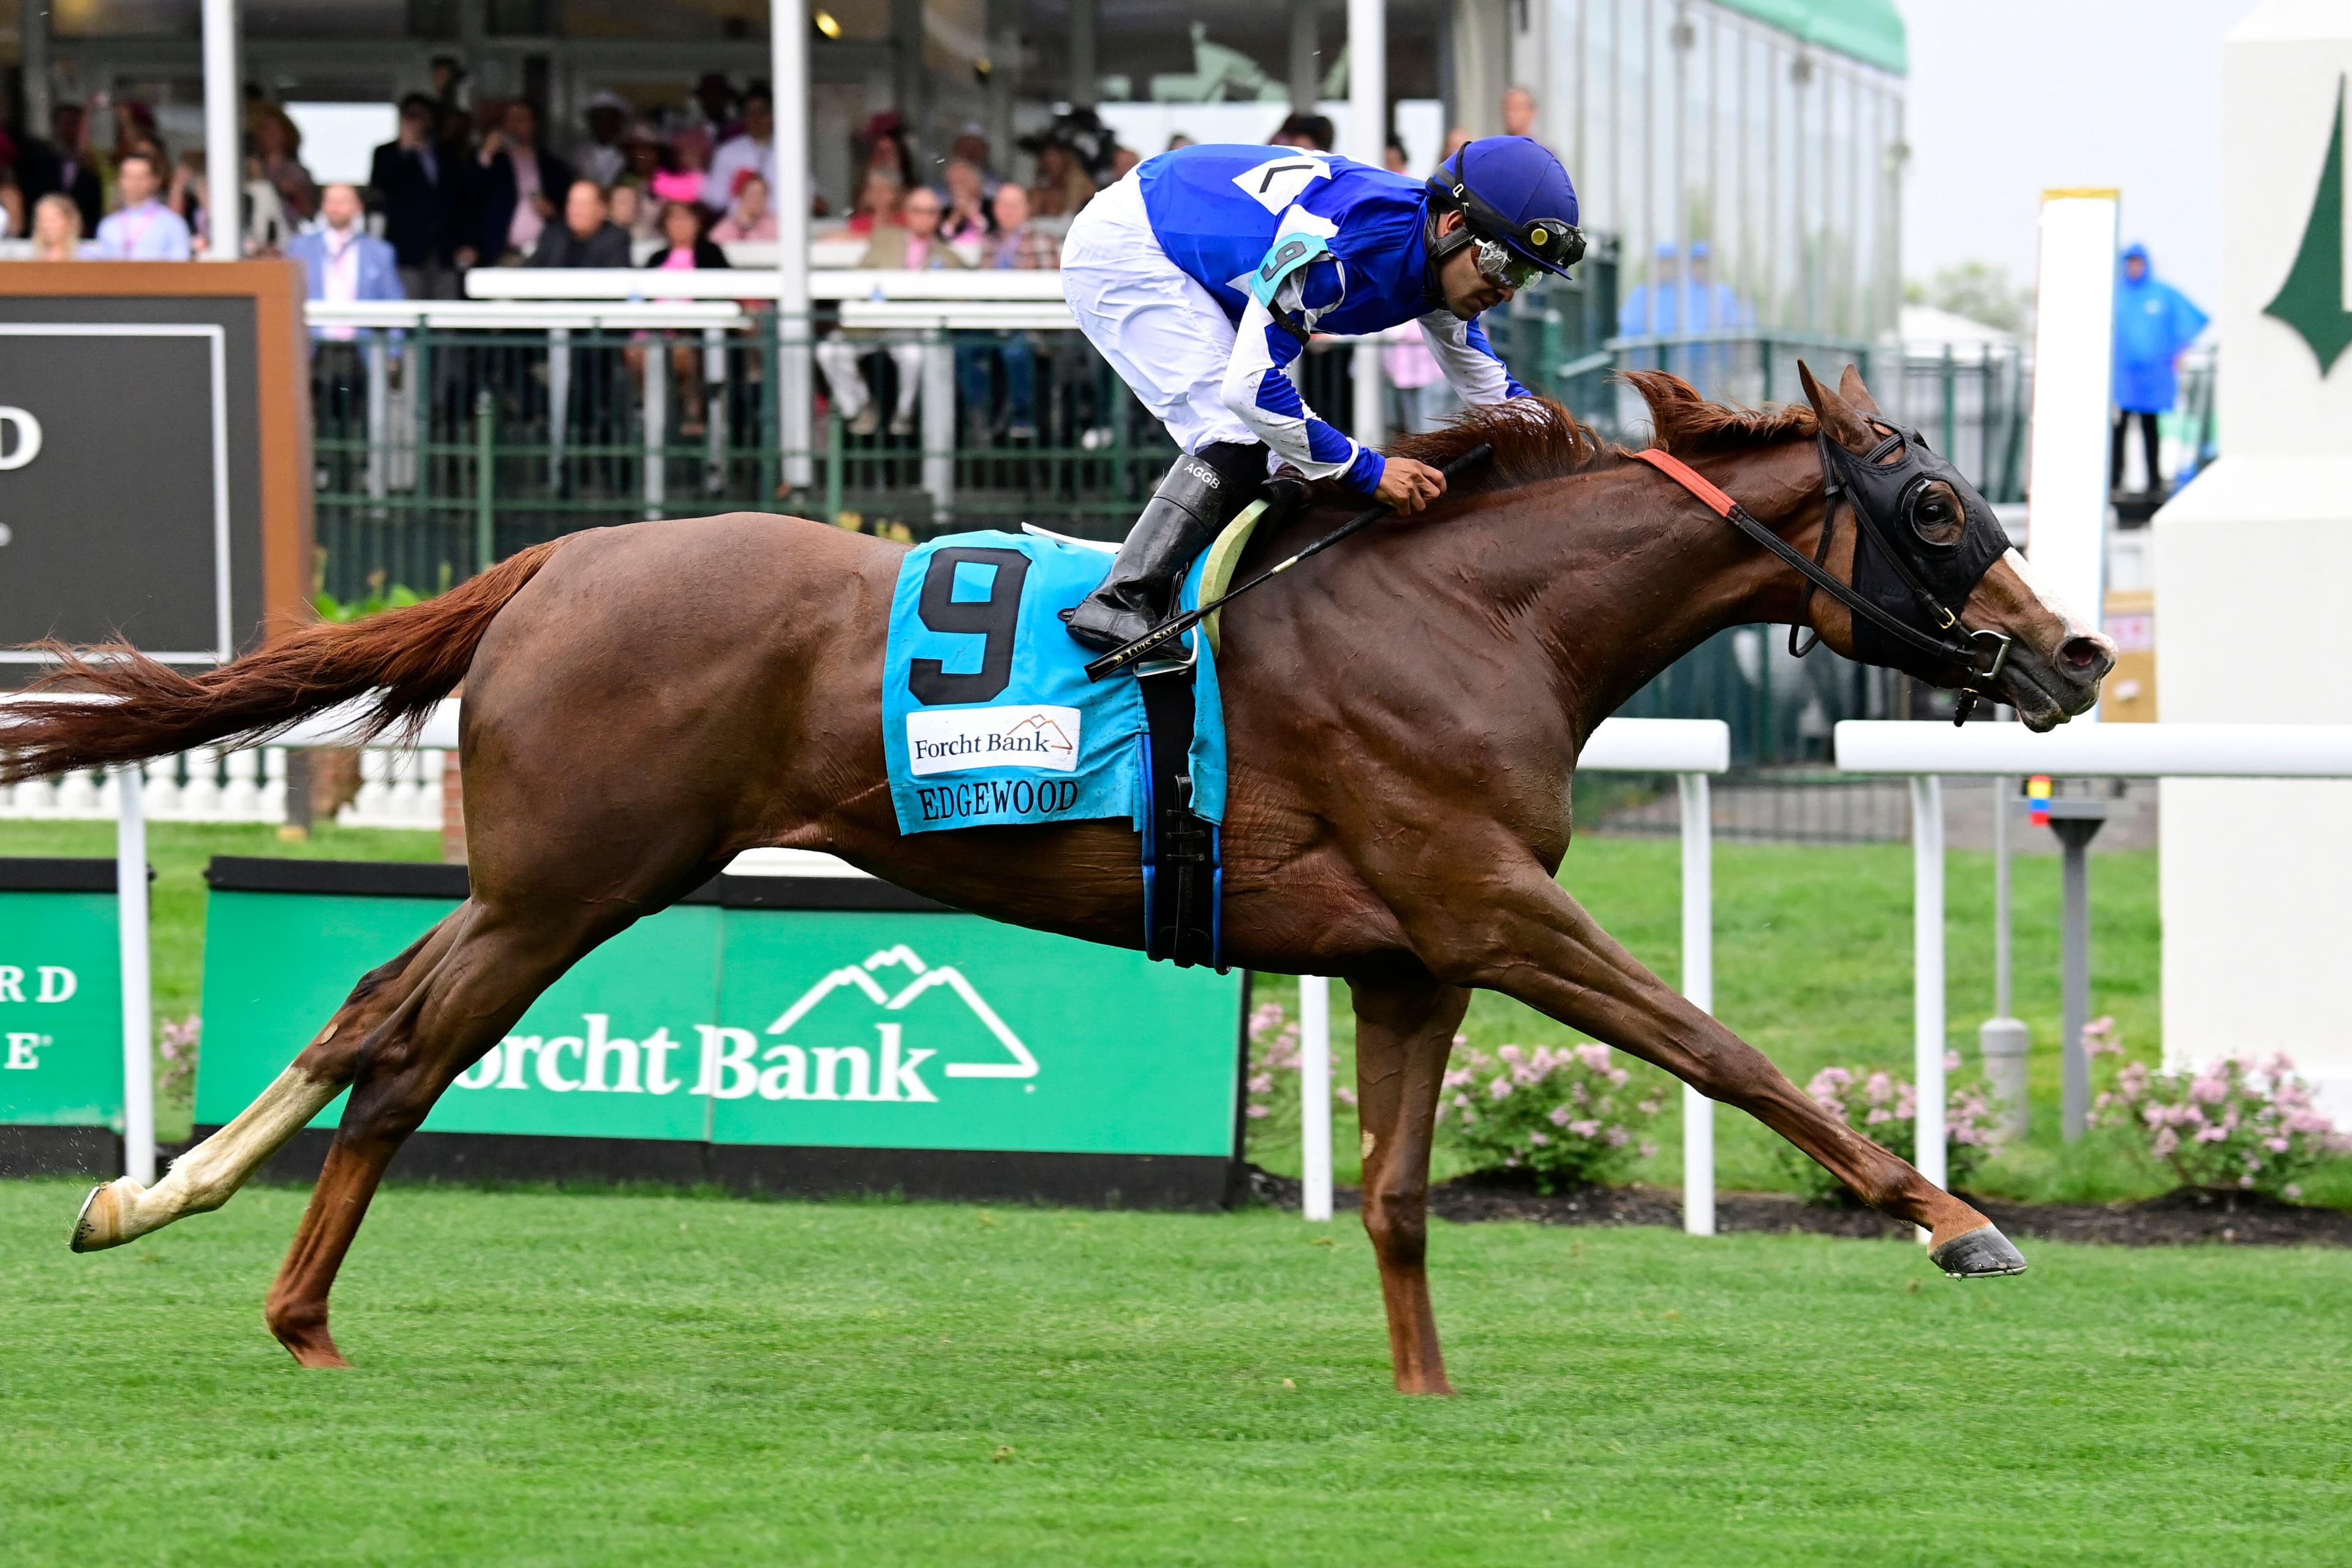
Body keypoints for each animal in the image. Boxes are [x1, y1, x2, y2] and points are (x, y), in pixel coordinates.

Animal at [20, 364, 2112, 1391]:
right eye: (1935, 505)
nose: (2076, 653)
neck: (1478, 617)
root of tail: (556, 558)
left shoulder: (1414, 954)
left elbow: (1393, 1197)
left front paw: (1426, 1403)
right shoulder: (1497, 910)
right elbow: (1721, 1051)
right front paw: (1956, 1222)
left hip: (552, 873)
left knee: (370, 1010)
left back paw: (163, 1212)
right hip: (576, 881)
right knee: (406, 1052)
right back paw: (273, 1296)